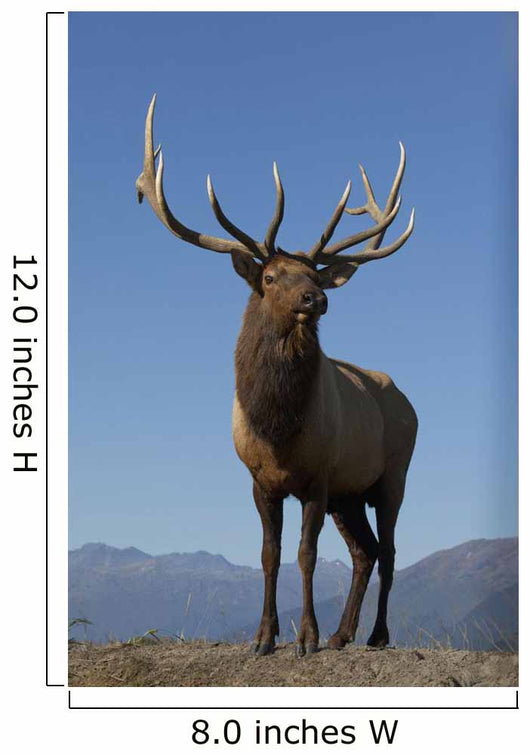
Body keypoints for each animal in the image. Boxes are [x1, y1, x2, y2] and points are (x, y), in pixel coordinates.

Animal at [136, 95, 418, 657]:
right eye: (269, 277)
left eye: (312, 275)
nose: (317, 298)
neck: (278, 429)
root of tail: (408, 401)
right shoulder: (259, 480)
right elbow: (269, 554)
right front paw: (265, 637)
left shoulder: (318, 476)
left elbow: (306, 555)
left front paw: (305, 637)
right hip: (351, 493)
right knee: (366, 551)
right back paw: (343, 634)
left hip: (393, 474)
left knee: (391, 550)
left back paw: (374, 635)